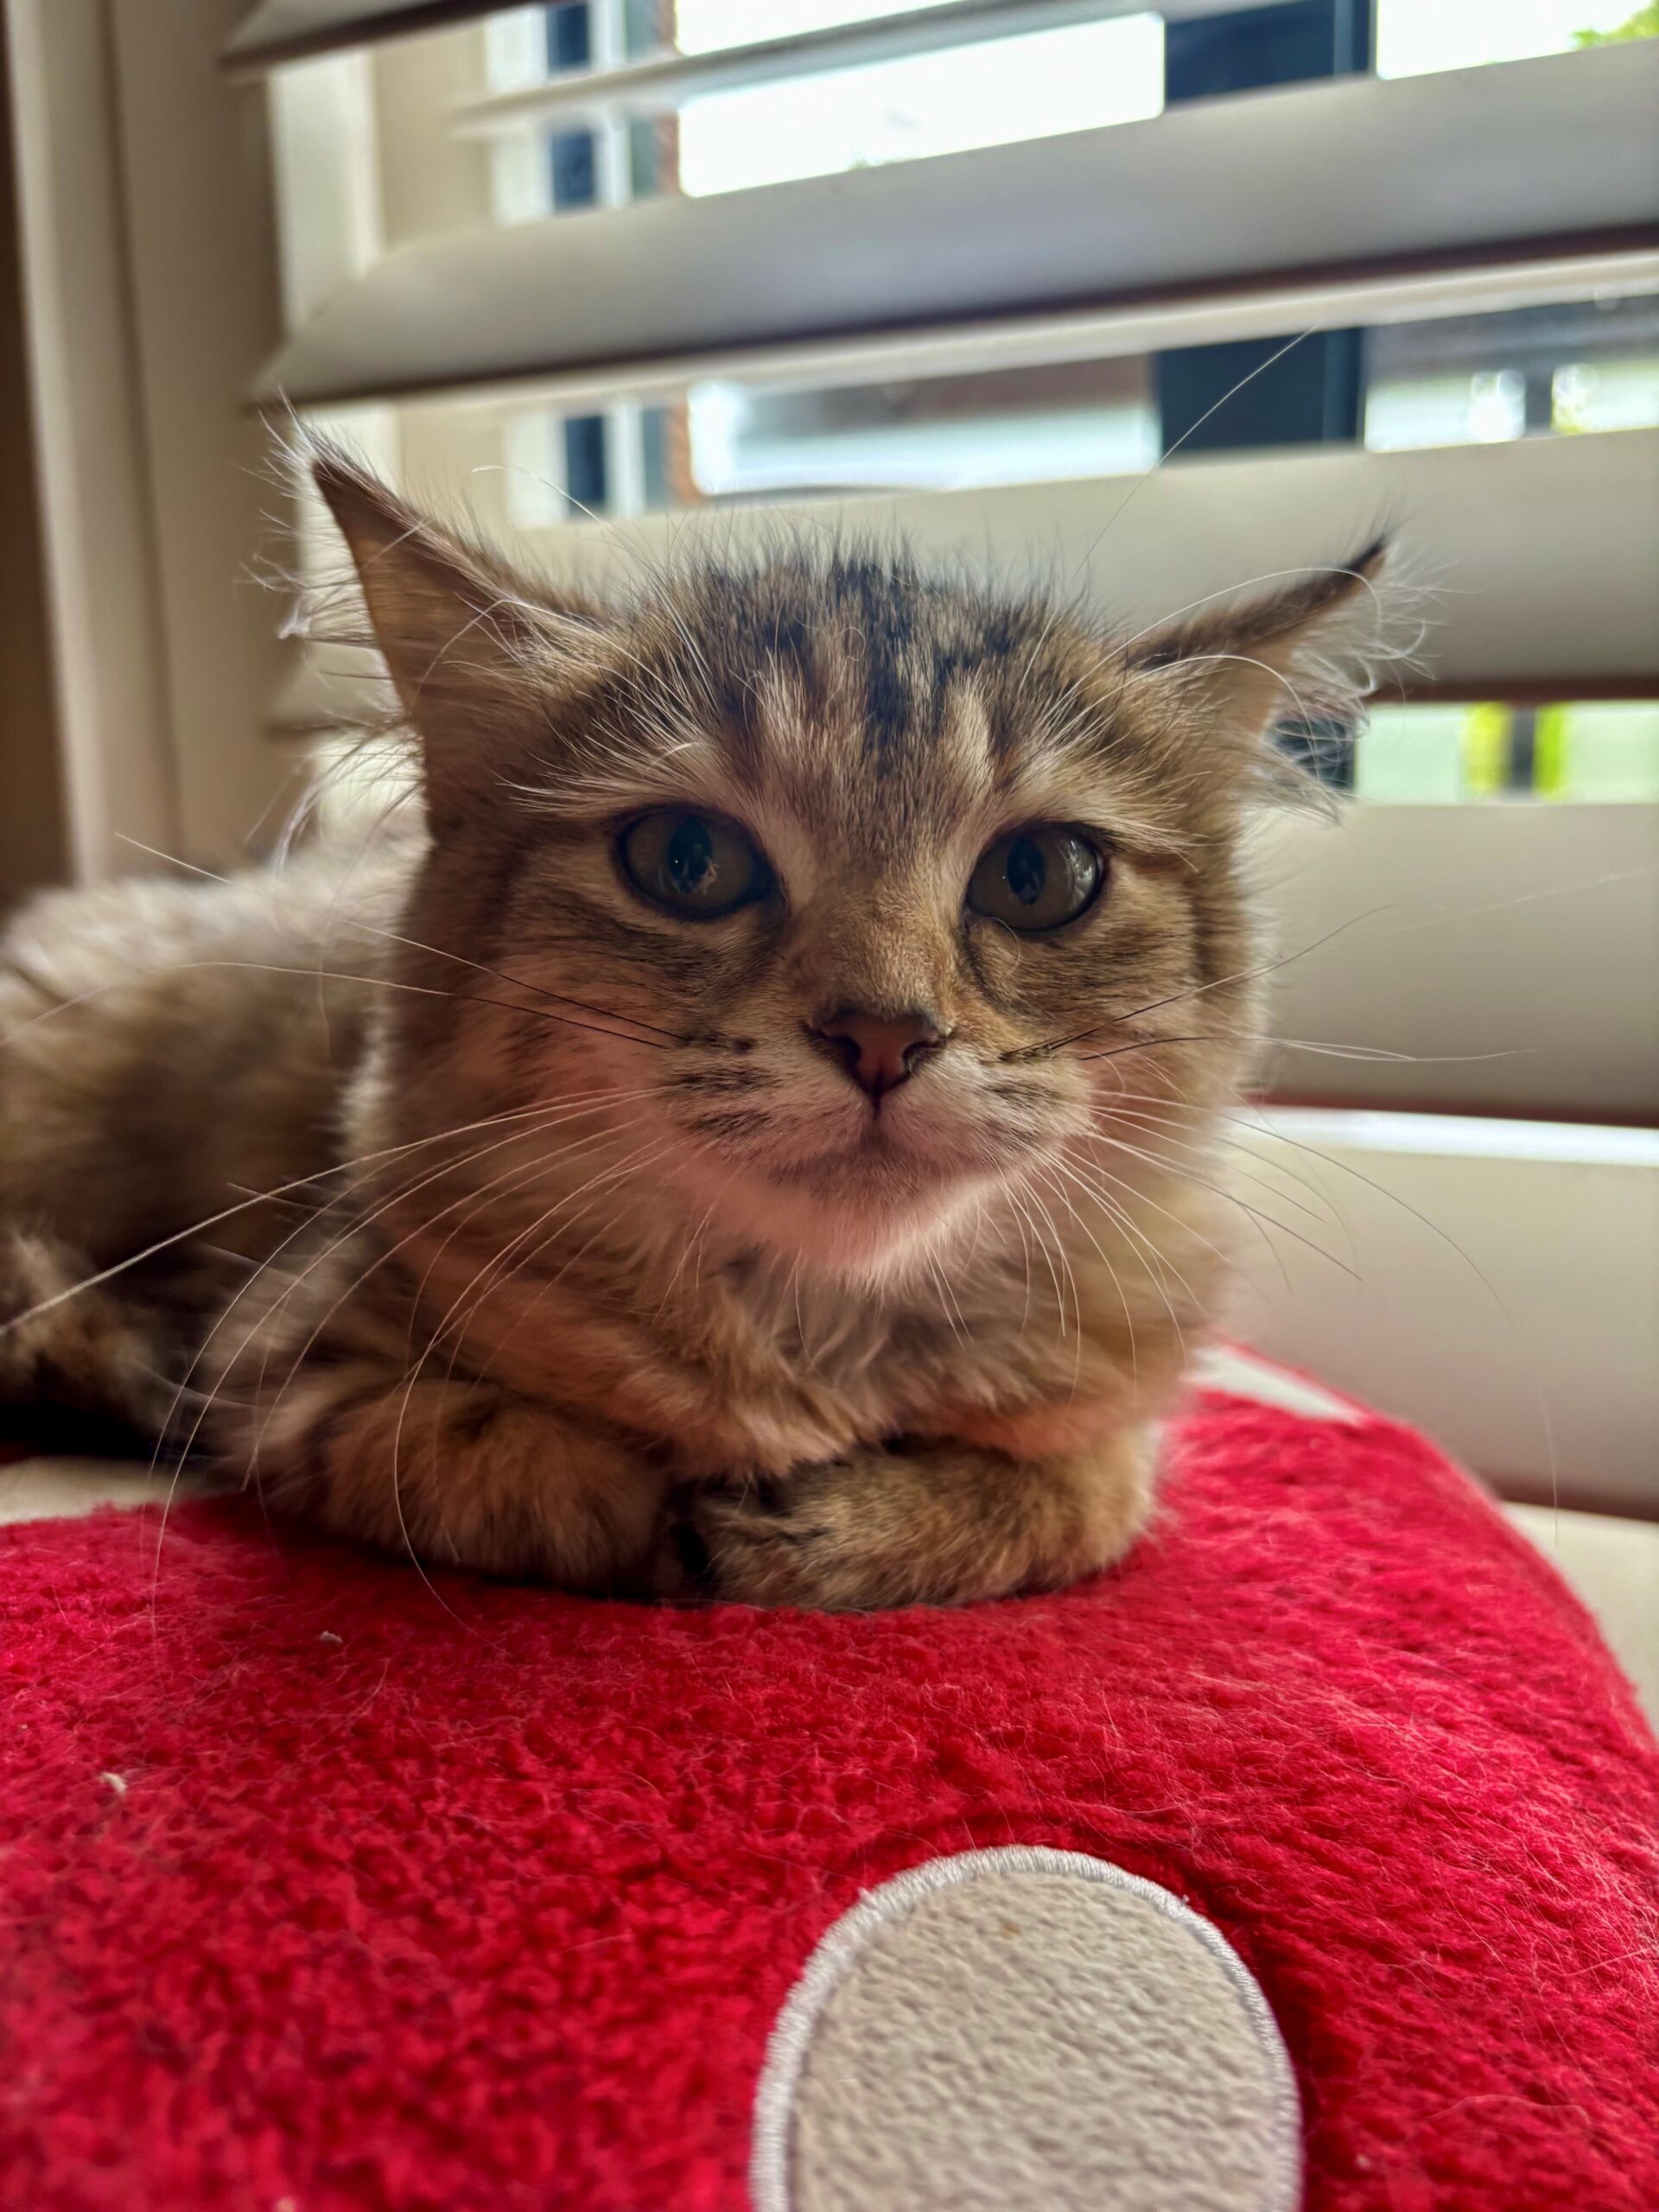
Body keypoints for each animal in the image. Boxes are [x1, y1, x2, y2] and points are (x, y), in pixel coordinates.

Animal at [0, 446, 1385, 1607]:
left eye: (1040, 877)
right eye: (685, 860)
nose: (883, 1037)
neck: (820, 1335)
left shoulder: (1119, 1413)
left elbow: (1081, 1496)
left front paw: (835, 1527)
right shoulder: (289, 1354)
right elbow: (492, 1457)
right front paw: (674, 1513)